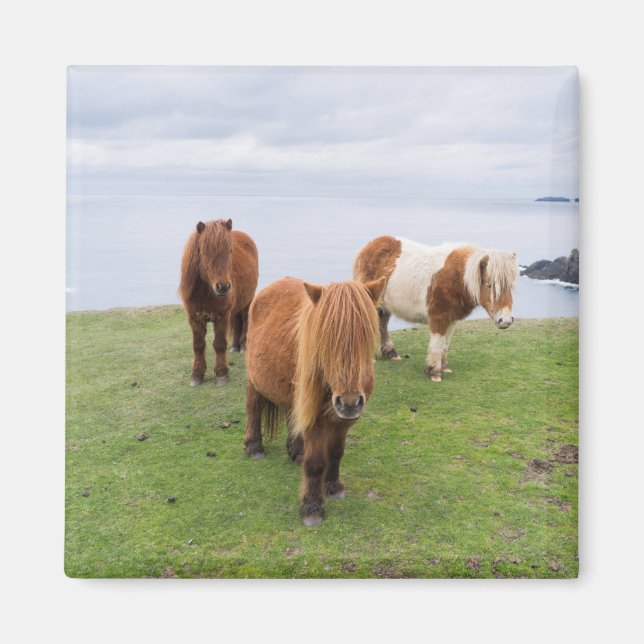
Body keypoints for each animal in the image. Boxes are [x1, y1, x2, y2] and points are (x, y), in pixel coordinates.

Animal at [179, 218, 258, 386]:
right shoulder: (194, 318)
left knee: (245, 319)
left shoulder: (222, 317)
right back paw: (235, 346)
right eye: (205, 252)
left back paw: (243, 346)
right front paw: (197, 374)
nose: (223, 287)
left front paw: (222, 374)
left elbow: (219, 344)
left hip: (247, 301)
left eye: (230, 251)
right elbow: (198, 345)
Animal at [243, 275, 386, 526]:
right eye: (326, 340)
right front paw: (311, 507)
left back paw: (296, 451)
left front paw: (333, 486)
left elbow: (336, 452)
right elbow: (316, 463)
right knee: (254, 408)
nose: (349, 402)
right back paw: (254, 447)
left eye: (366, 336)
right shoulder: (316, 420)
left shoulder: (343, 421)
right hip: (255, 381)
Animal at [353, 236, 519, 382]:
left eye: (510, 286)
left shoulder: (451, 319)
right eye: (489, 285)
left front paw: (444, 367)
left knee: (382, 323)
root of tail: (369, 247)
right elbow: (437, 343)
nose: (505, 321)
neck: (458, 277)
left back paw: (391, 353)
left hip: (384, 306)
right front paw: (434, 371)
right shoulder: (439, 317)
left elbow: (444, 343)